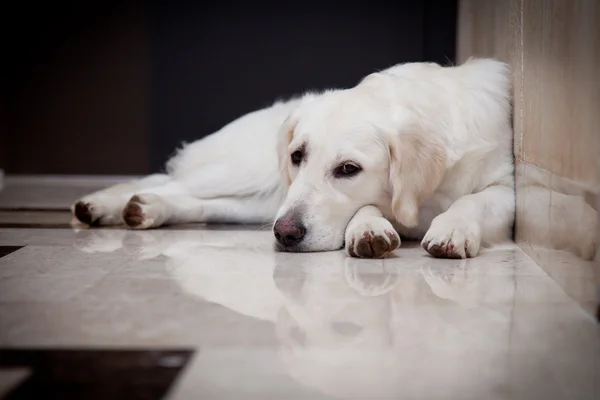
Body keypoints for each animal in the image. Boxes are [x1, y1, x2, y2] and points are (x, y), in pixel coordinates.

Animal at [72, 58, 516, 260]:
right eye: (298, 155)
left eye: (349, 169)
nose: (285, 234)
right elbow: (368, 208)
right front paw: (368, 227)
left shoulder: (509, 189)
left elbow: (473, 200)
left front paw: (452, 228)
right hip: (246, 176)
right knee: (165, 178)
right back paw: (102, 203)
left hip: (260, 202)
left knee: (192, 199)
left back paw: (145, 209)